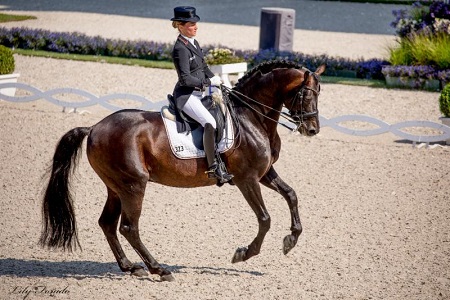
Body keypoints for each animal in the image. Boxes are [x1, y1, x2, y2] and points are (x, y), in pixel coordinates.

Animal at [39, 60, 324, 282]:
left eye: (319, 93)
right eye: (306, 94)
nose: (312, 129)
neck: (250, 116)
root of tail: (94, 128)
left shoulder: (264, 173)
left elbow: (291, 195)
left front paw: (291, 240)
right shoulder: (247, 179)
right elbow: (264, 219)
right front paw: (243, 253)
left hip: (116, 187)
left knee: (107, 224)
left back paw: (131, 267)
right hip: (133, 185)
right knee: (129, 228)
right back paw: (159, 269)